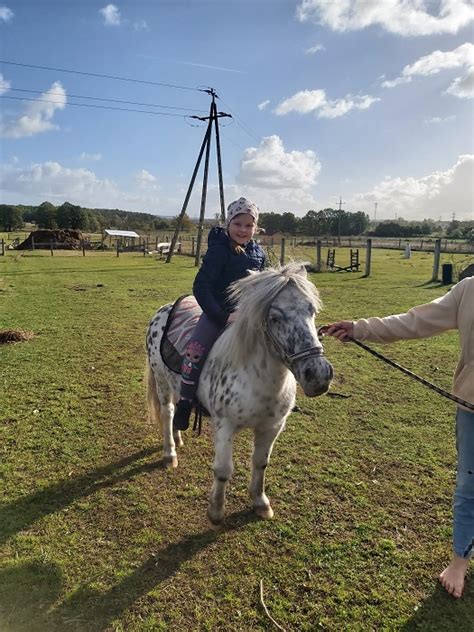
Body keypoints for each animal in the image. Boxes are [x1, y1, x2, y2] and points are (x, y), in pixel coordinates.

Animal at [144, 262, 334, 524]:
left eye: (311, 310)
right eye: (274, 318)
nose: (318, 375)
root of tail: (165, 309)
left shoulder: (272, 427)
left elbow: (261, 463)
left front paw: (260, 503)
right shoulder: (224, 426)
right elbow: (223, 470)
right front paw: (216, 511)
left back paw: (178, 437)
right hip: (161, 381)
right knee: (167, 413)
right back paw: (169, 453)